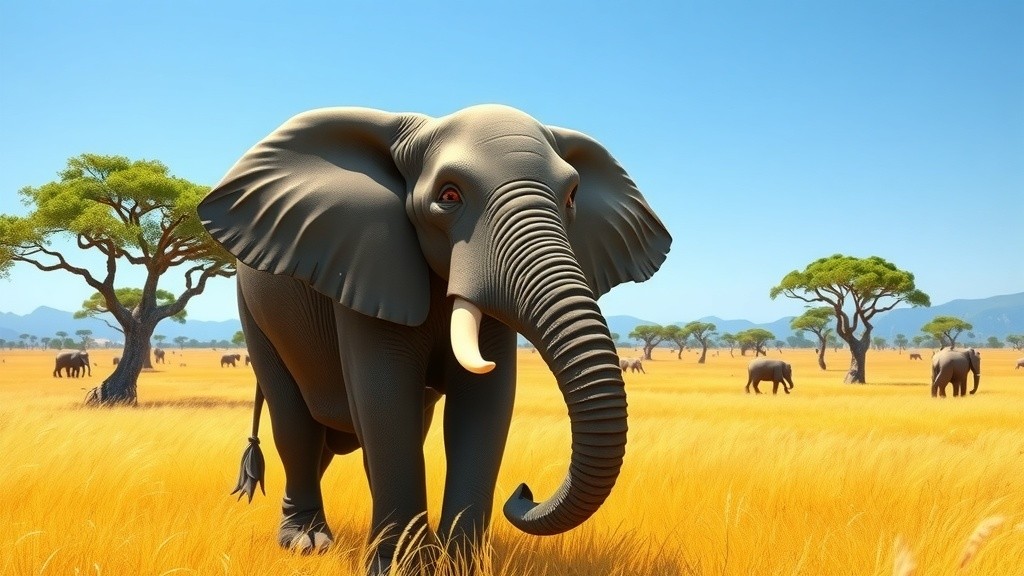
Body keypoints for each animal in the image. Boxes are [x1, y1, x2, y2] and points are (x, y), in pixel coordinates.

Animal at [197, 104, 671, 573]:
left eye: (572, 197)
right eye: (449, 196)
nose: (523, 492)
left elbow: (483, 404)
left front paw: (458, 565)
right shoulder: (371, 266)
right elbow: (386, 399)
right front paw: (398, 568)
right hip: (255, 315)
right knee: (296, 425)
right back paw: (306, 543)